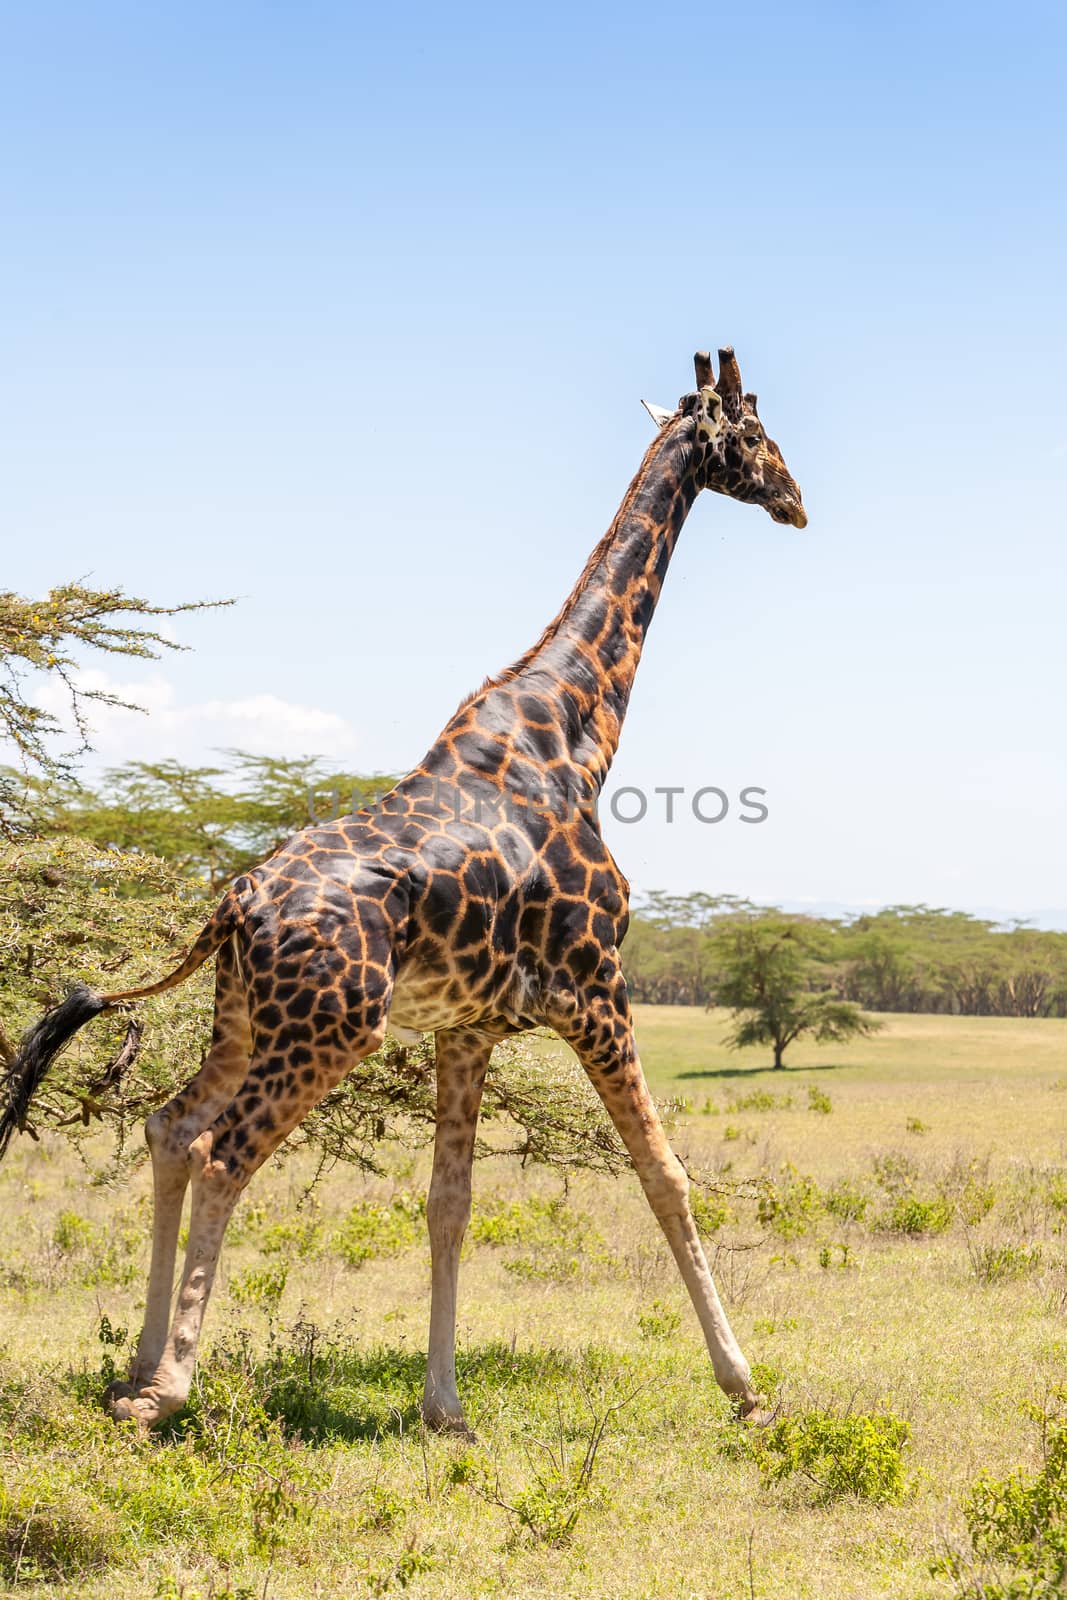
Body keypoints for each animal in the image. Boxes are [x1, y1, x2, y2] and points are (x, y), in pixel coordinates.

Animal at [0, 347, 799, 1440]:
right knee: (222, 1153)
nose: (795, 500)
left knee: (168, 1128)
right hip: (333, 1027)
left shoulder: (468, 1024)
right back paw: (169, 1386)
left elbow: (448, 1202)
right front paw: (744, 1386)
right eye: (756, 432)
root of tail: (234, 906)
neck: (577, 733)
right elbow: (664, 1175)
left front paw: (444, 1406)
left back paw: (132, 1368)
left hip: (248, 1018)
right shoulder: (598, 987)